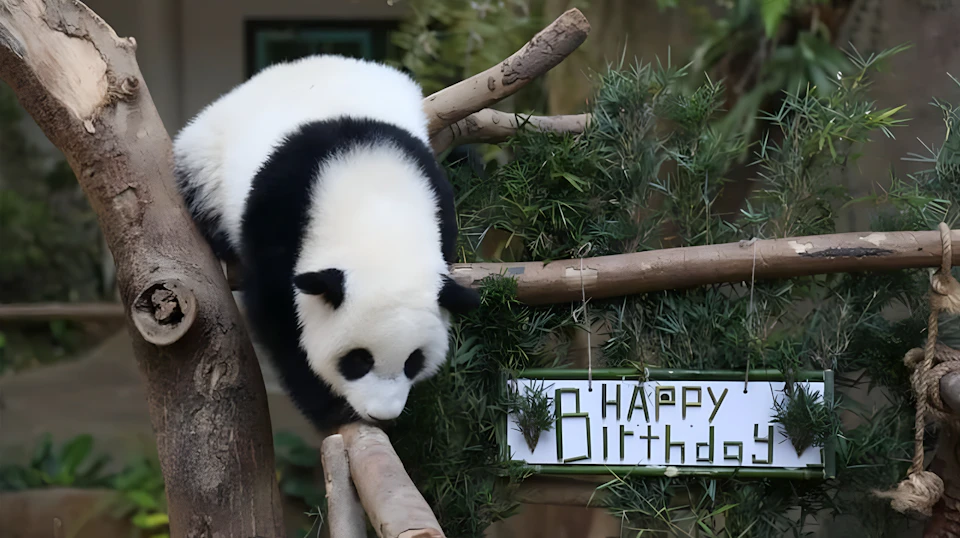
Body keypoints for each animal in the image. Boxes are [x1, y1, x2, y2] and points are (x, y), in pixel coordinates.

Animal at [171, 54, 481, 431]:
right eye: (358, 360)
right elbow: (277, 316)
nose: (382, 414)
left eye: (413, 362)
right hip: (206, 161)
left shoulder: (437, 199)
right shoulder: (280, 211)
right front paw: (328, 407)